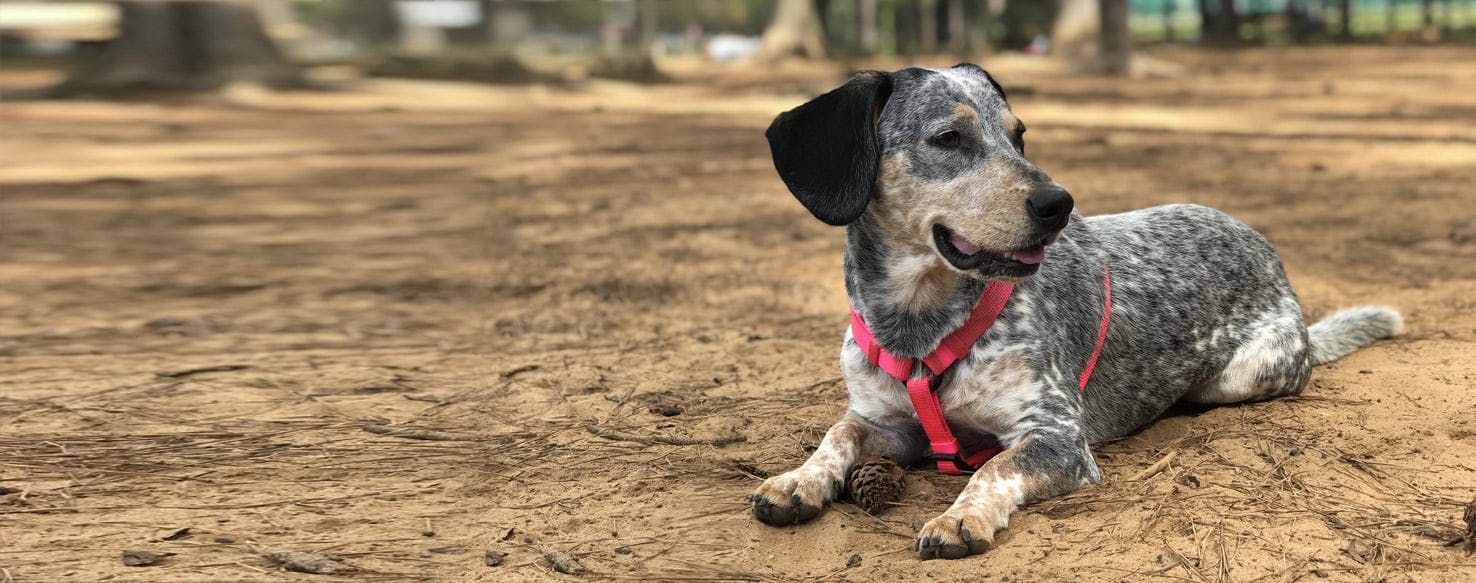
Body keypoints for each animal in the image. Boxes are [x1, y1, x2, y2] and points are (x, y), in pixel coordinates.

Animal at [743, 64, 1399, 560]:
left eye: (1019, 135)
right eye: (948, 138)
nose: (1059, 202)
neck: (918, 324)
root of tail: (1268, 250)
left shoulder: (1054, 434)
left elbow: (992, 467)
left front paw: (959, 517)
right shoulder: (884, 421)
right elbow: (839, 433)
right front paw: (798, 480)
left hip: (1242, 375)